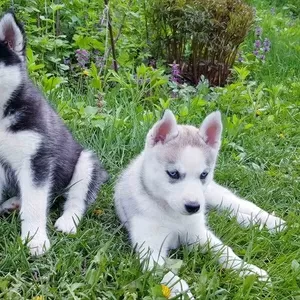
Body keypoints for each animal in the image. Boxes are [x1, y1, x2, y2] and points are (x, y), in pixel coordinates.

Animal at [0, 12, 109, 255]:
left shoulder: (36, 159)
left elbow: (35, 205)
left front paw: (35, 240)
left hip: (86, 162)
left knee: (76, 199)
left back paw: (68, 221)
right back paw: (12, 203)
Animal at [115, 109, 286, 298]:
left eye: (203, 174)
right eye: (173, 173)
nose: (193, 207)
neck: (172, 215)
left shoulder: (199, 234)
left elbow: (226, 251)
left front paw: (249, 270)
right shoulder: (150, 250)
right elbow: (170, 277)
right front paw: (182, 293)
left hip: (214, 196)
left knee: (240, 205)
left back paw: (271, 222)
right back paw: (254, 223)